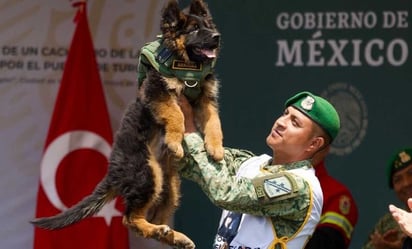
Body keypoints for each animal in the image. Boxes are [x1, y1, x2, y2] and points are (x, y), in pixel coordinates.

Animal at [30, 0, 224, 249]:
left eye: (208, 27)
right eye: (193, 29)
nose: (217, 37)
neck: (186, 66)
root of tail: (114, 172)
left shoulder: (206, 99)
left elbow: (214, 123)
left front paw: (216, 149)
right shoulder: (158, 91)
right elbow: (176, 115)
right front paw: (174, 140)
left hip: (168, 185)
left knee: (151, 217)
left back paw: (172, 235)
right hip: (146, 174)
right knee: (129, 219)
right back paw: (162, 230)